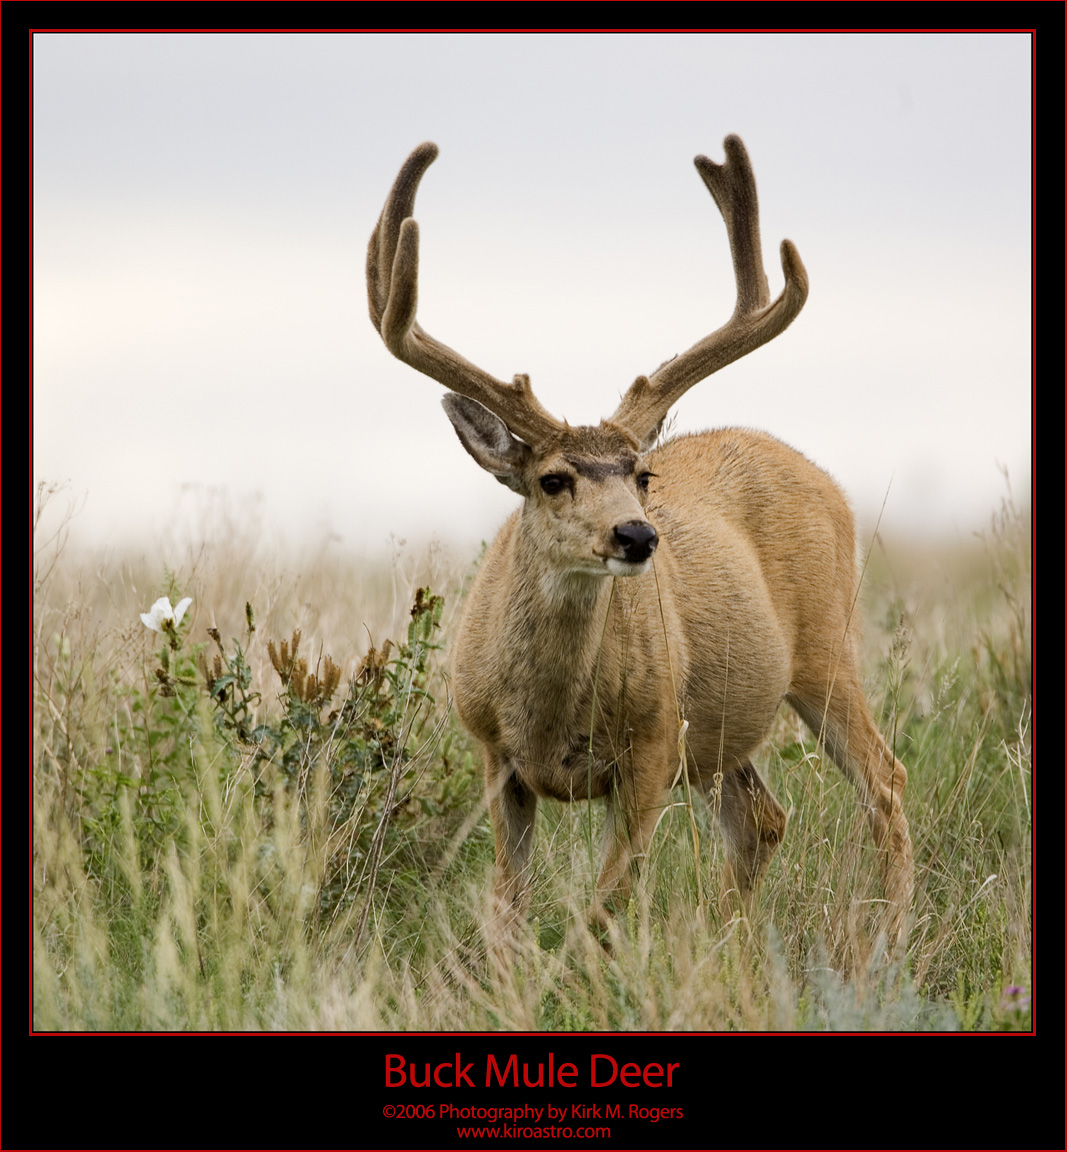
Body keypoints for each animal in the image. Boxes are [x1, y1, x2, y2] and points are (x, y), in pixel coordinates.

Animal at [366, 135, 914, 951]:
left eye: (641, 473)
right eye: (553, 479)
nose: (636, 533)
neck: (548, 712)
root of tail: (824, 479)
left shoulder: (651, 749)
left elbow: (603, 908)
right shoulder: (494, 754)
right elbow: (507, 908)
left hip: (824, 648)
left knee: (884, 781)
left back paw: (886, 942)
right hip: (721, 727)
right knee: (763, 818)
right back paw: (730, 944)